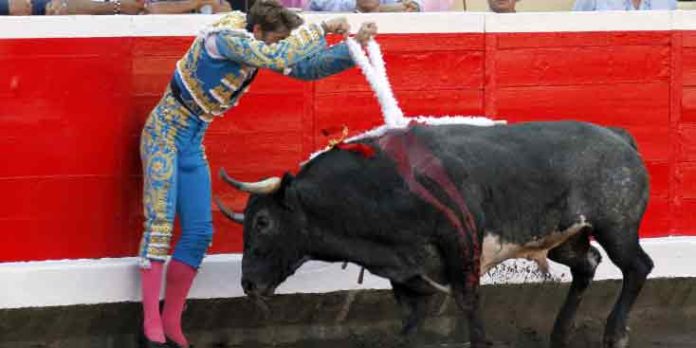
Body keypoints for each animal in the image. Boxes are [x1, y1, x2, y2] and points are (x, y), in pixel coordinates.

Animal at [216, 120, 652, 348]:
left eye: (263, 222)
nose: (248, 284)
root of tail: (618, 136)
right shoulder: (406, 274)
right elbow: (409, 326)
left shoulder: (462, 253)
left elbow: (470, 307)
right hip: (567, 238)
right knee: (587, 265)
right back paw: (559, 335)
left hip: (616, 228)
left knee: (637, 267)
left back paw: (614, 334)